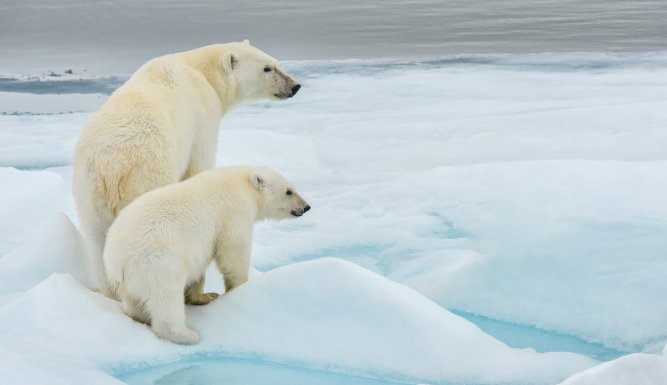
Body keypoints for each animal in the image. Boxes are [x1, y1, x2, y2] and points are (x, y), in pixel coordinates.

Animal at [72, 39, 298, 292]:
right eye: (267, 68)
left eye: (276, 63)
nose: (295, 86)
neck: (199, 69)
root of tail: (112, 167)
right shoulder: (202, 116)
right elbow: (200, 165)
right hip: (146, 175)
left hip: (88, 190)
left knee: (97, 242)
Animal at [103, 165, 312, 342]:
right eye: (289, 191)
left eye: (293, 187)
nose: (306, 207)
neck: (242, 182)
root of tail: (116, 258)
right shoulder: (235, 210)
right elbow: (233, 250)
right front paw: (239, 287)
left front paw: (206, 296)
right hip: (156, 261)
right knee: (166, 296)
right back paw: (186, 334)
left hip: (129, 279)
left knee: (134, 301)